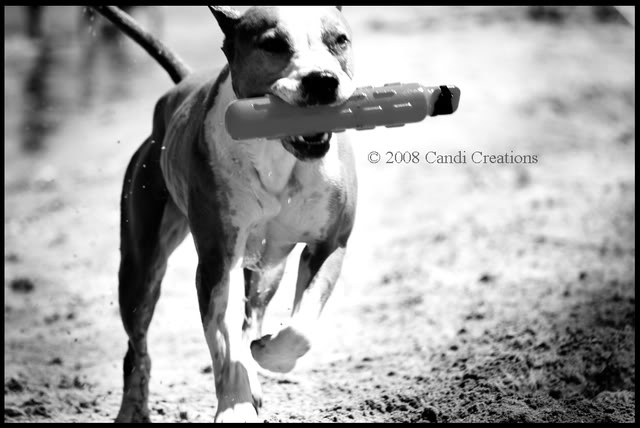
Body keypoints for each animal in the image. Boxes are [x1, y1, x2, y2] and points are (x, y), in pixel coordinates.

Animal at [100, 5, 360, 422]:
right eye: (273, 44)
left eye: (339, 40)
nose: (322, 80)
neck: (278, 152)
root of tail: (182, 83)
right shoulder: (216, 263)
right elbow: (222, 344)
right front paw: (235, 406)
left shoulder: (331, 243)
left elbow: (300, 328)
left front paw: (271, 355)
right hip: (141, 266)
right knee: (137, 345)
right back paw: (132, 409)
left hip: (268, 266)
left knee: (251, 316)